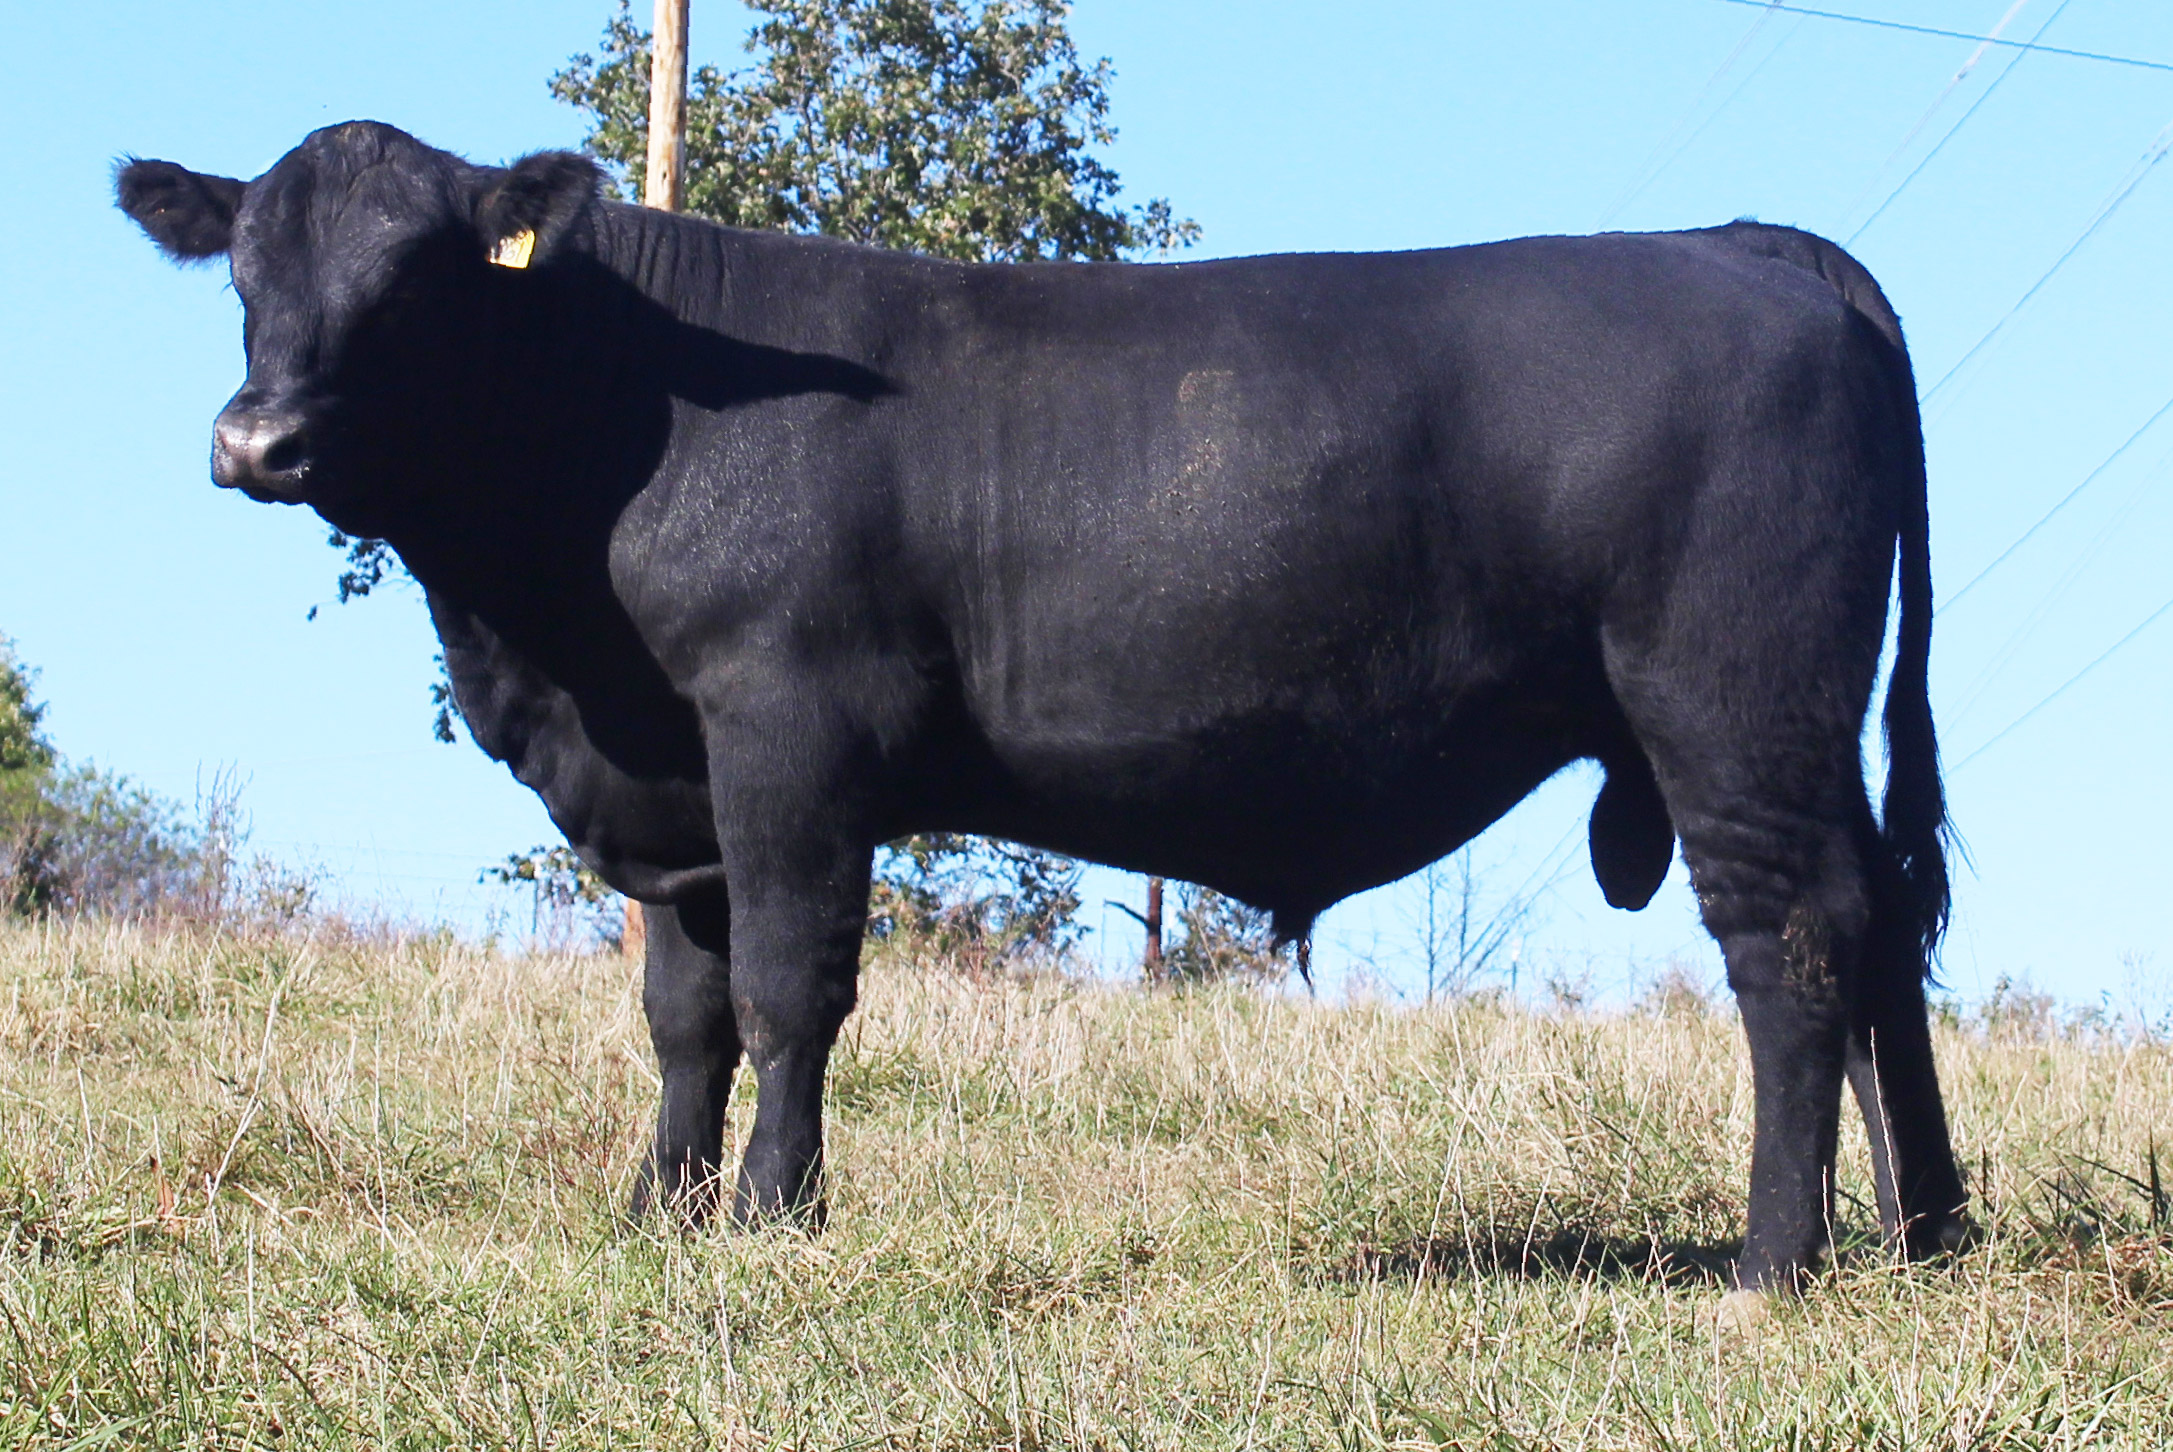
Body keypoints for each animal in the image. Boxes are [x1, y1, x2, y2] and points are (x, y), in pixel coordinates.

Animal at [118, 121, 1970, 1306]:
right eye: (247, 274)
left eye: (419, 276)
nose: (257, 442)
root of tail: (1744, 247)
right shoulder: (677, 789)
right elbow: (681, 1011)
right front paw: (656, 1213)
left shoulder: (788, 729)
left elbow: (789, 990)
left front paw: (772, 1220)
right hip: (1795, 731)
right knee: (1884, 928)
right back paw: (1924, 1231)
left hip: (1728, 705)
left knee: (1795, 942)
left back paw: (1771, 1262)